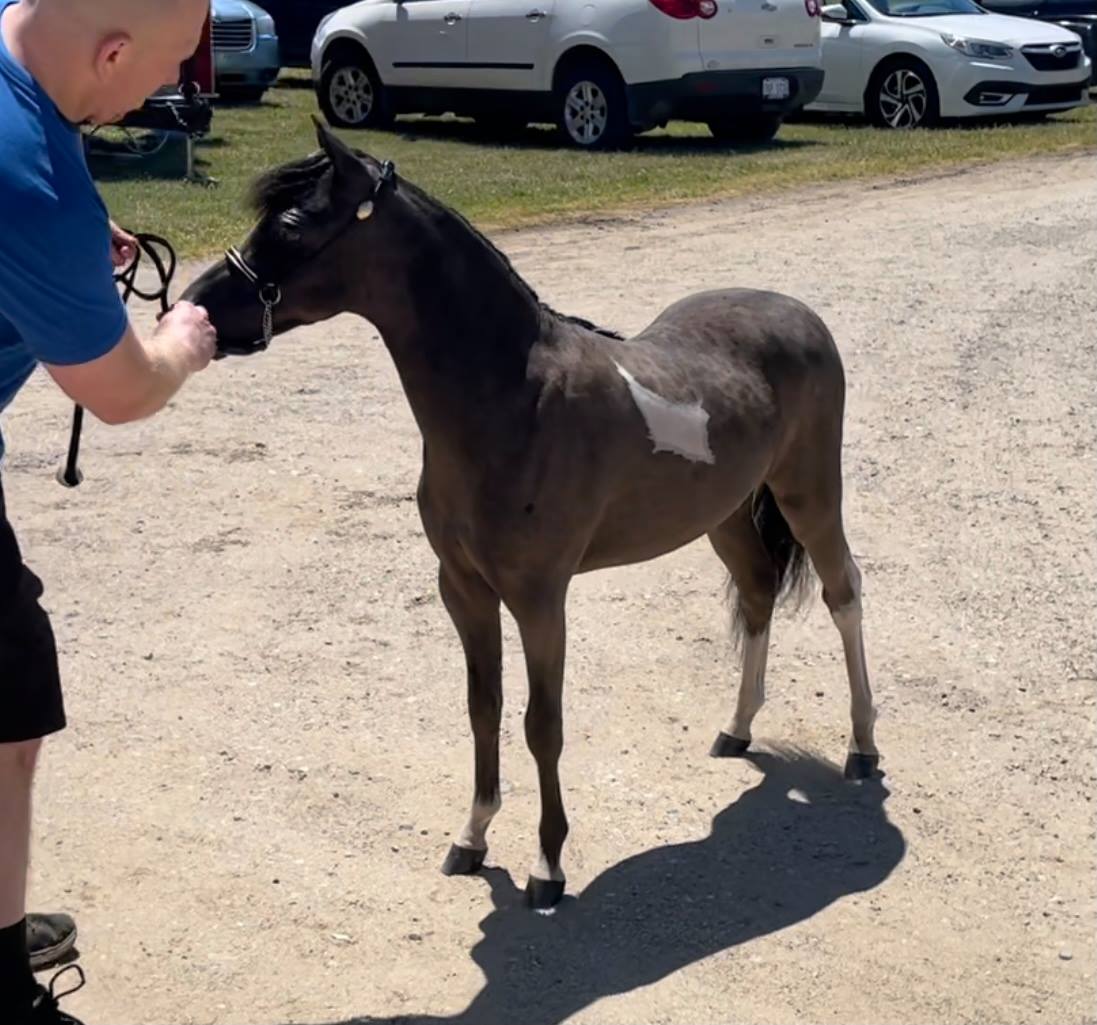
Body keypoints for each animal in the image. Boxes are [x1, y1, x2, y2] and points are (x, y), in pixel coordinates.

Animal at [183, 118, 881, 911]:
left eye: (292, 224)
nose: (196, 307)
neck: (513, 401)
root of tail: (798, 313)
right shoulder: (463, 589)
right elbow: (481, 708)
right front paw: (472, 835)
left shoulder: (540, 598)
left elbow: (541, 724)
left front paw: (548, 866)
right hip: (724, 515)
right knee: (759, 593)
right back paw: (735, 730)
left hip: (809, 493)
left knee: (843, 593)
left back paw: (862, 746)